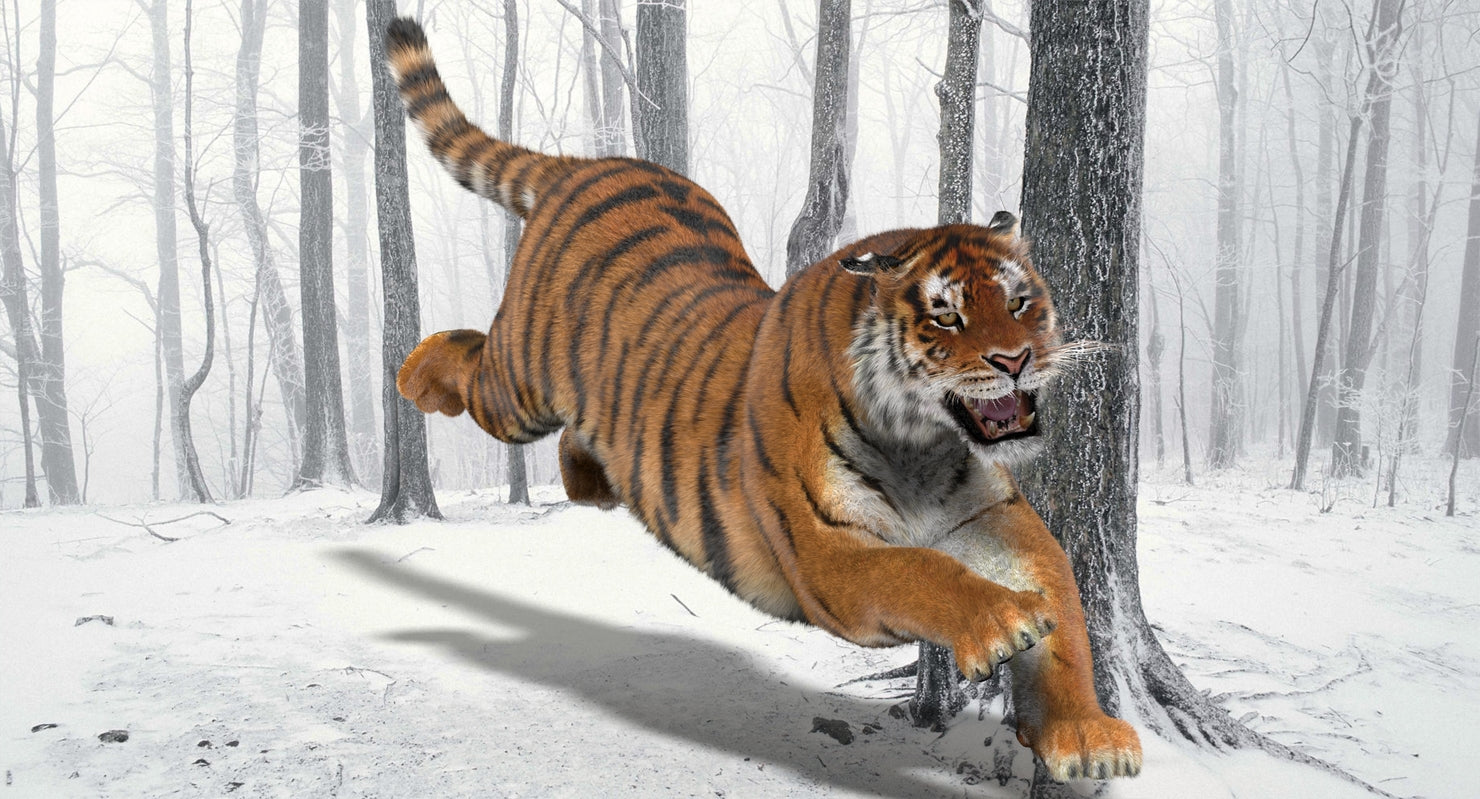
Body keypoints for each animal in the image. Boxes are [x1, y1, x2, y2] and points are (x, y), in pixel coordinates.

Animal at [385, 18, 1141, 781]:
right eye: (947, 318)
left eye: (1019, 303)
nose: (1016, 361)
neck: (921, 442)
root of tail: (585, 165)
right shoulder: (830, 555)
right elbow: (919, 569)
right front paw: (1003, 623)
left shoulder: (995, 515)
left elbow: (1064, 601)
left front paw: (1088, 735)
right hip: (518, 385)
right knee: (472, 360)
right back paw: (411, 375)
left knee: (580, 431)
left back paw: (595, 481)